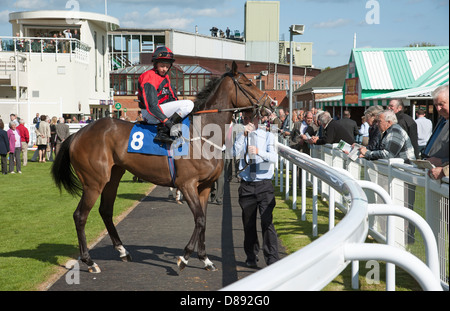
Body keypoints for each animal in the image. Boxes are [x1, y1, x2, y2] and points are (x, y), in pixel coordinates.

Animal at [51, 61, 272, 276]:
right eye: (248, 84)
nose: (270, 103)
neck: (202, 133)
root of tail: (77, 134)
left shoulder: (205, 186)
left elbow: (203, 220)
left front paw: (205, 259)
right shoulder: (187, 184)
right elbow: (199, 219)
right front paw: (184, 258)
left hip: (112, 177)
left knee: (105, 210)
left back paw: (122, 251)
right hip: (93, 182)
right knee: (80, 216)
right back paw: (89, 261)